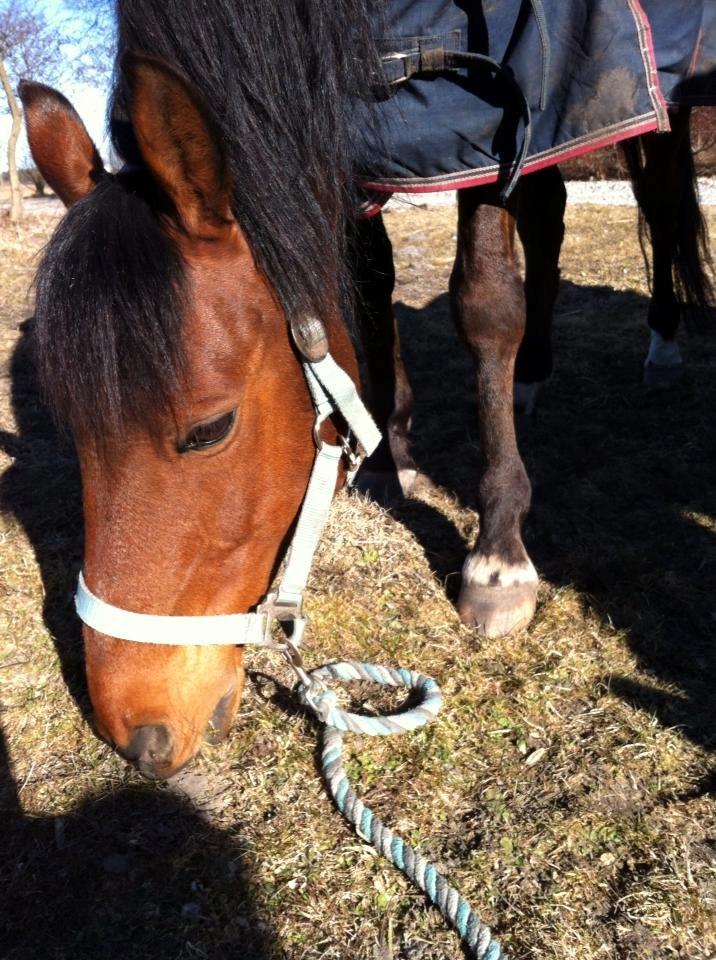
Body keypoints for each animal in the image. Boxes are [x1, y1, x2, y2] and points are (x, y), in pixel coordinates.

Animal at [19, 0, 713, 778]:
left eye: (209, 430)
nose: (138, 736)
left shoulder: (490, 114)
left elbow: (485, 304)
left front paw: (498, 551)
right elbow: (369, 287)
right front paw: (386, 455)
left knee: (659, 200)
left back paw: (661, 346)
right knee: (550, 210)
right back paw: (533, 374)